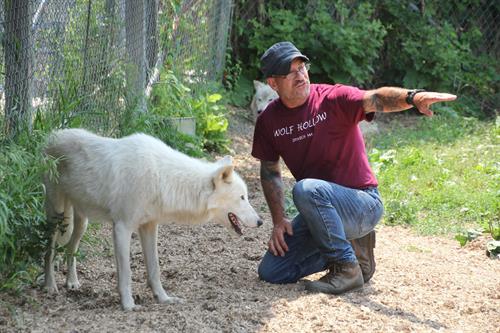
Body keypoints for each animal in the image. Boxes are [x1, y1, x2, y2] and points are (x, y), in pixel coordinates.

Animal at [43, 127, 264, 308]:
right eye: (242, 197)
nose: (261, 221)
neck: (161, 177)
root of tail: (53, 134)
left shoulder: (149, 227)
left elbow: (154, 269)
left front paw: (163, 298)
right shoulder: (122, 228)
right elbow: (126, 273)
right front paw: (128, 305)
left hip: (82, 223)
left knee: (70, 248)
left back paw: (71, 282)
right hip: (56, 215)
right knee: (49, 249)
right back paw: (50, 285)